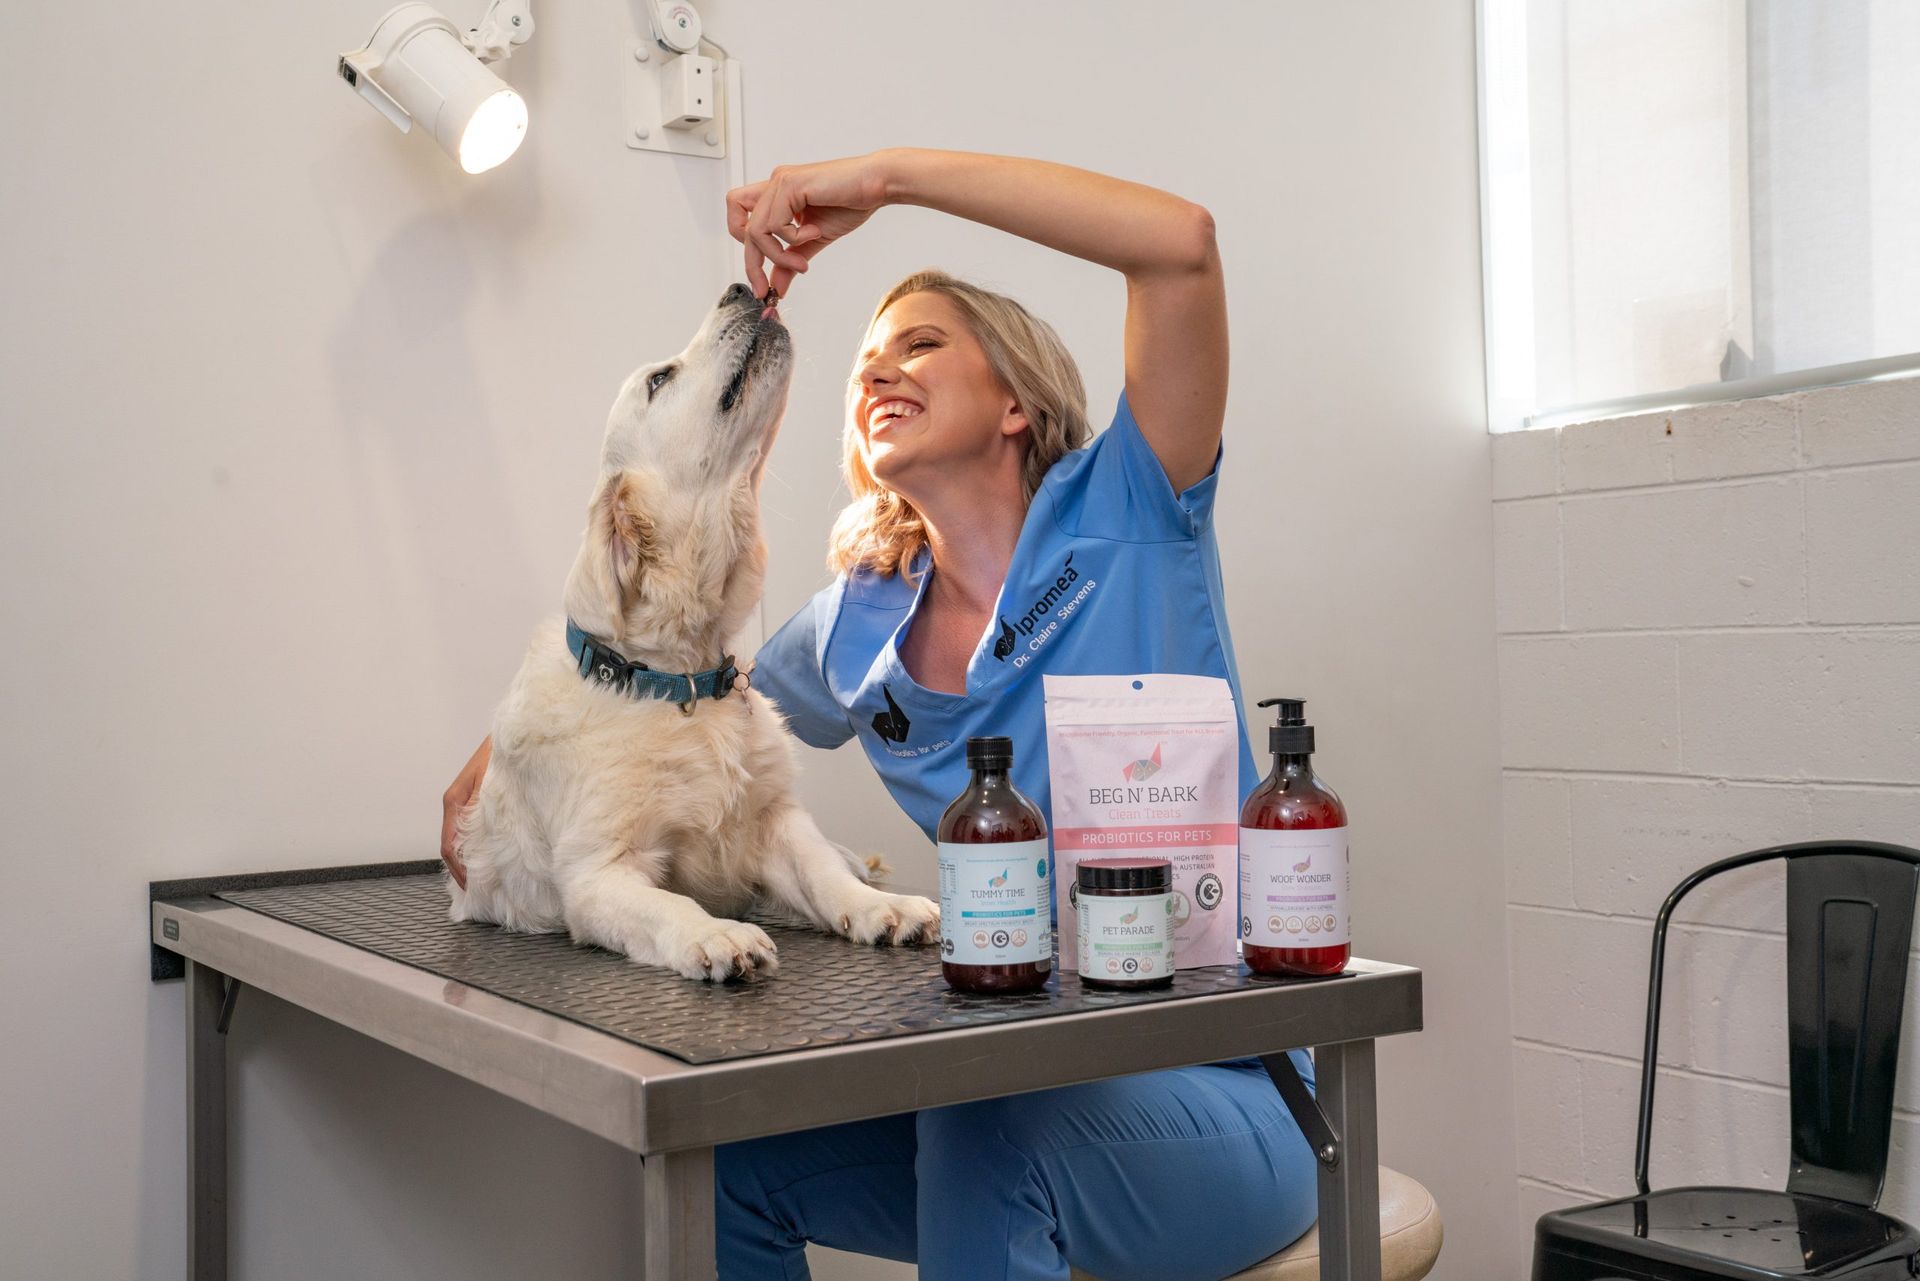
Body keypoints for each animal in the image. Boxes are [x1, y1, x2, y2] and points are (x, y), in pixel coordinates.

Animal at [443, 288, 936, 983]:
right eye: (660, 379)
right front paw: (719, 936)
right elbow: (669, 905)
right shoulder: (597, 872)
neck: (675, 680)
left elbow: (821, 874)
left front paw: (879, 908)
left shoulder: (775, 822)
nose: (741, 289)